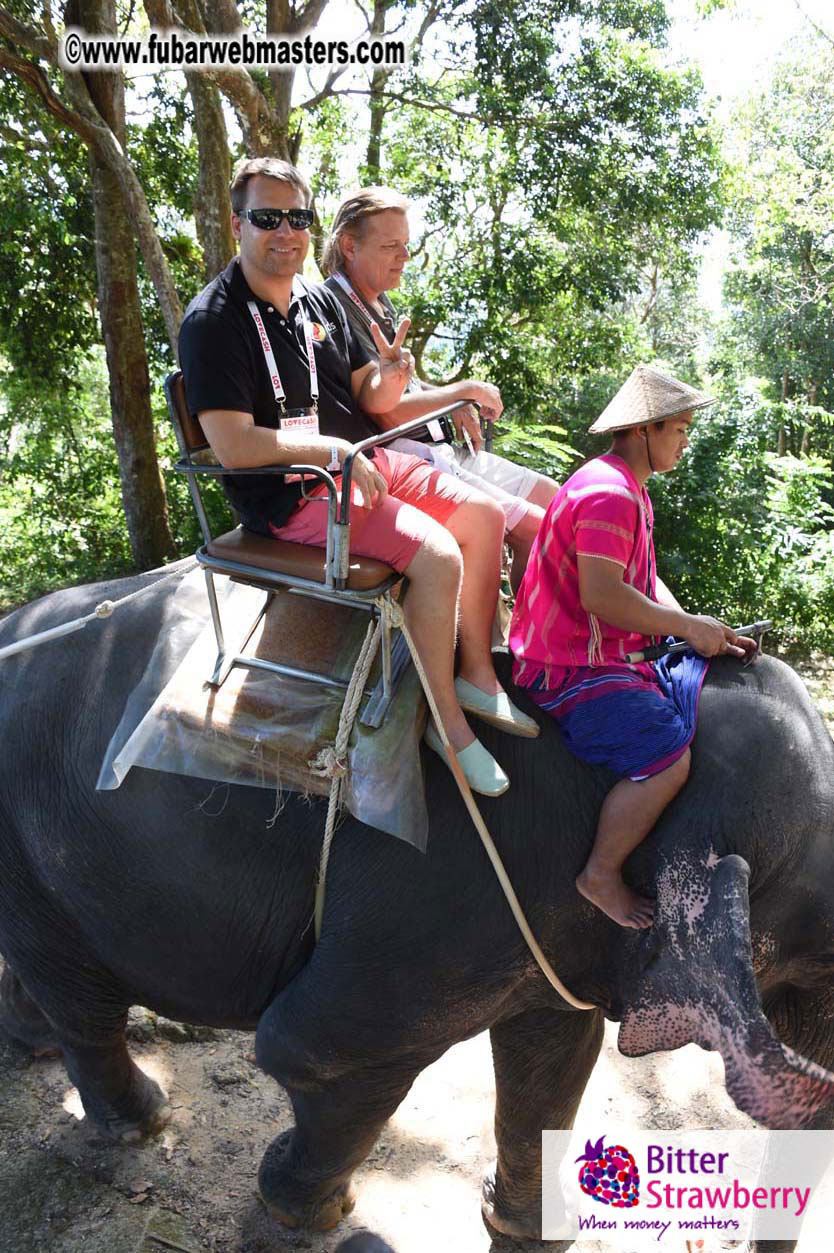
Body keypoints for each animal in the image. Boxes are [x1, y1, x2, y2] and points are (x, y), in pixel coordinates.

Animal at [1, 563, 834, 1253]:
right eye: (811, 948)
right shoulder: (441, 896)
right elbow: (316, 1047)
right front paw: (302, 1211)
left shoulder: (552, 924)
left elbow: (554, 1055)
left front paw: (529, 1231)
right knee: (82, 996)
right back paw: (141, 1118)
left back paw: (31, 1044)